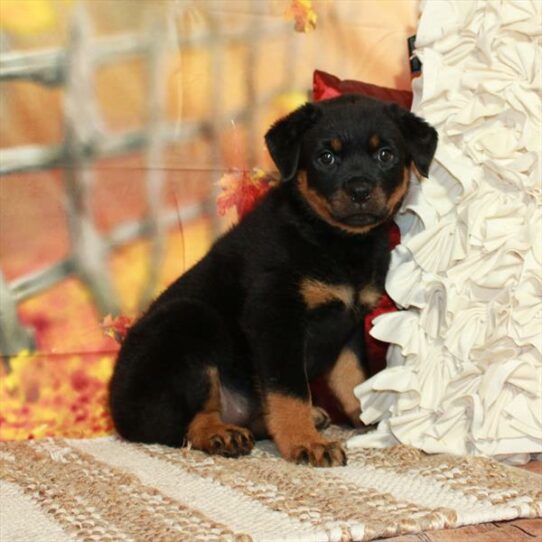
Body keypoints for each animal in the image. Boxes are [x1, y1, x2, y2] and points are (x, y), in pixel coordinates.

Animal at [109, 95, 438, 470]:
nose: (359, 190)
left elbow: (352, 377)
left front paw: (367, 419)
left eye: (386, 154)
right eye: (326, 157)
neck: (334, 240)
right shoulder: (275, 317)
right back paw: (221, 434)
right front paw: (306, 443)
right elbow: (289, 391)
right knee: (184, 421)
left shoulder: (348, 323)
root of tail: (117, 414)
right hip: (188, 319)